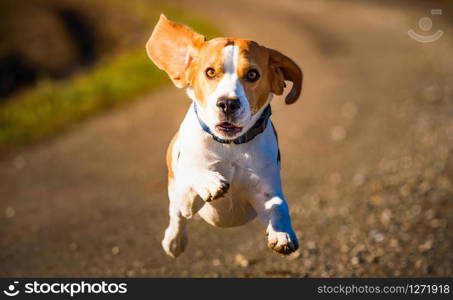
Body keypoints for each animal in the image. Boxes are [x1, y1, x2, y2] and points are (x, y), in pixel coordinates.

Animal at [147, 15, 302, 256]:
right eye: (210, 72)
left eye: (252, 74)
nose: (228, 103)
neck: (230, 146)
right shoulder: (185, 198)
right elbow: (193, 175)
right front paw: (210, 182)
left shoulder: (265, 191)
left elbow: (279, 206)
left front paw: (283, 234)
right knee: (176, 218)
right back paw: (174, 241)